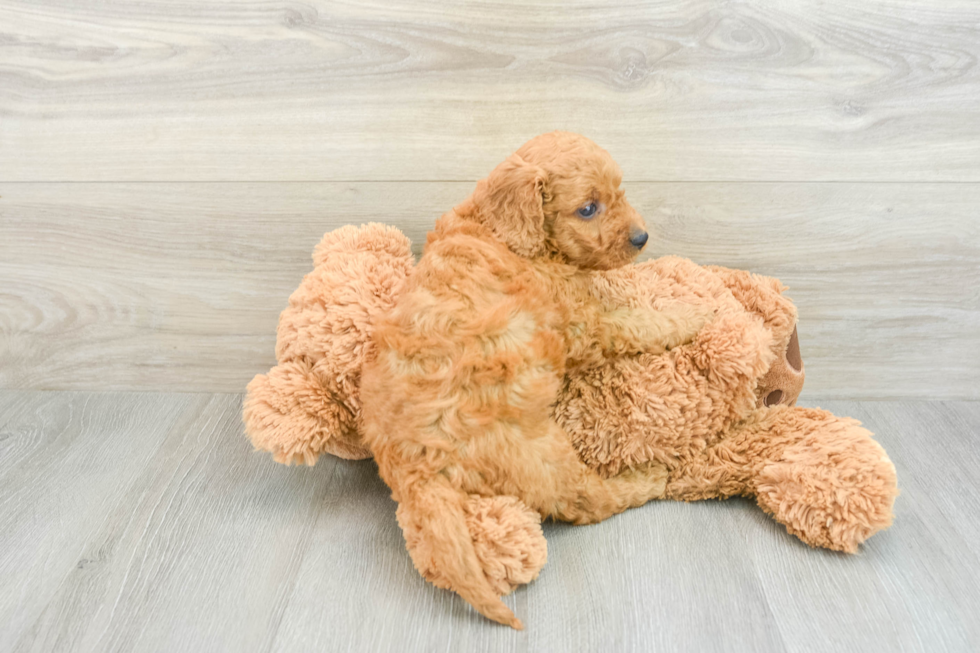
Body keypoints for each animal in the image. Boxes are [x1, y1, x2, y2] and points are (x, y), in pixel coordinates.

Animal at [364, 132, 708, 628]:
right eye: (588, 208)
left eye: (619, 193)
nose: (641, 238)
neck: (505, 232)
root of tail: (409, 465)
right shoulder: (584, 325)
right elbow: (639, 323)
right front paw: (691, 314)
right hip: (542, 454)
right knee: (589, 501)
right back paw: (647, 478)